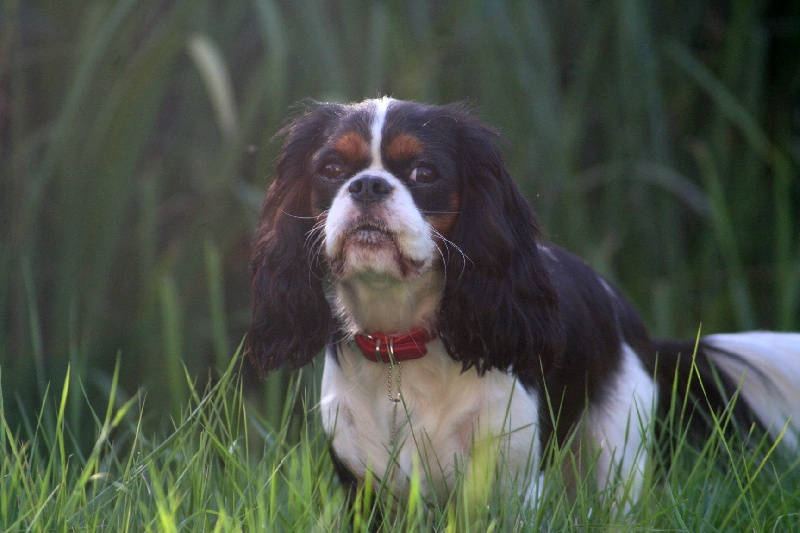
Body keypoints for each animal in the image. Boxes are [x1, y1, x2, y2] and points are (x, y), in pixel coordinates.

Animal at [245, 97, 800, 510]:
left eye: (425, 172)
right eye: (332, 167)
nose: (367, 184)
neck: (402, 343)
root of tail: (637, 327)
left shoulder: (507, 484)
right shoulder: (366, 488)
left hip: (615, 452)